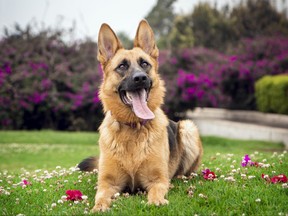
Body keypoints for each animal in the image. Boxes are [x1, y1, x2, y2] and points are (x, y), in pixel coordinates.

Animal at [78, 19, 202, 212]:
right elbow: (100, 196)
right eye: (122, 66)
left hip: (188, 127)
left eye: (145, 64)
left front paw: (157, 201)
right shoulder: (108, 184)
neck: (133, 127)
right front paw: (99, 207)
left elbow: (156, 191)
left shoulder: (158, 180)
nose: (140, 78)